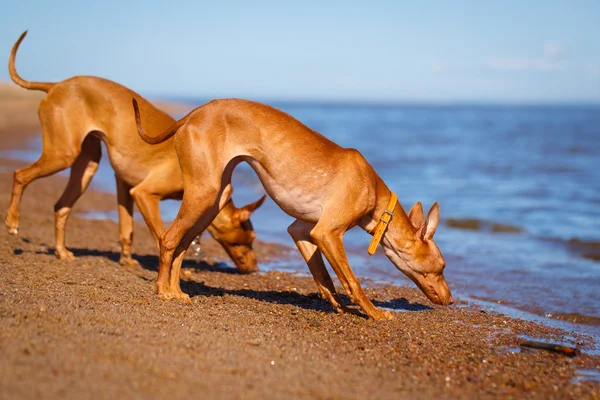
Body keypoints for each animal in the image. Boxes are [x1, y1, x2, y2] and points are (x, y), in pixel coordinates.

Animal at [5, 31, 264, 272]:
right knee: (20, 175)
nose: (255, 268)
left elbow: (127, 228)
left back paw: (61, 251)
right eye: (250, 240)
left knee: (61, 207)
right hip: (63, 155)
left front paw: (127, 260)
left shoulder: (124, 185)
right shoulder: (143, 193)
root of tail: (56, 85)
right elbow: (160, 235)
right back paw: (12, 222)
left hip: (87, 165)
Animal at [132, 96, 454, 318]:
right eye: (442, 267)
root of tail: (195, 111)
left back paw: (176, 290)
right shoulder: (327, 233)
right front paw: (373, 312)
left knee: (182, 245)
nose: (451, 300)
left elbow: (324, 277)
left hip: (213, 201)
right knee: (168, 238)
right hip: (203, 194)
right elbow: (352, 281)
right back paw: (163, 291)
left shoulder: (302, 230)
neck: (375, 193)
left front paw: (337, 305)